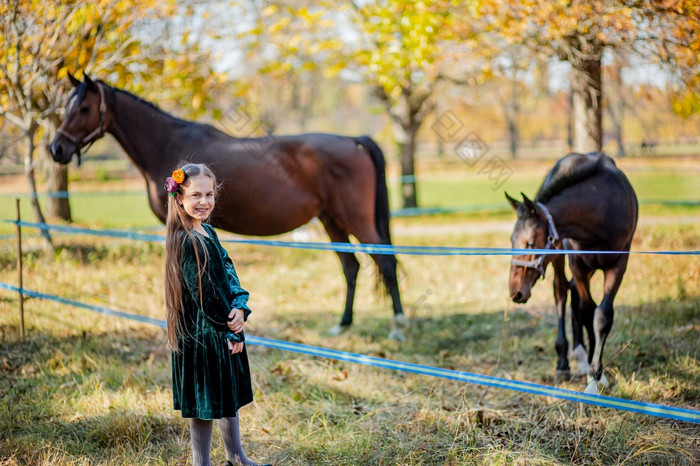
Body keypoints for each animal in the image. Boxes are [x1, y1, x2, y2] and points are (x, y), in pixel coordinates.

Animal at [49, 74, 408, 340]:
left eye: (84, 108)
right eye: (67, 106)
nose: (57, 148)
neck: (166, 143)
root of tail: (353, 141)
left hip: (355, 219)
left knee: (386, 262)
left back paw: (398, 327)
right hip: (331, 220)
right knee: (351, 267)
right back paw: (342, 325)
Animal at [506, 153, 636, 394]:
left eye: (530, 242)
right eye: (512, 240)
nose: (515, 292)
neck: (601, 206)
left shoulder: (618, 265)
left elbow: (602, 315)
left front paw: (598, 374)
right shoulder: (578, 263)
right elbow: (586, 311)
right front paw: (592, 378)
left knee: (575, 293)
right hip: (560, 257)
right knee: (561, 293)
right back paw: (565, 362)